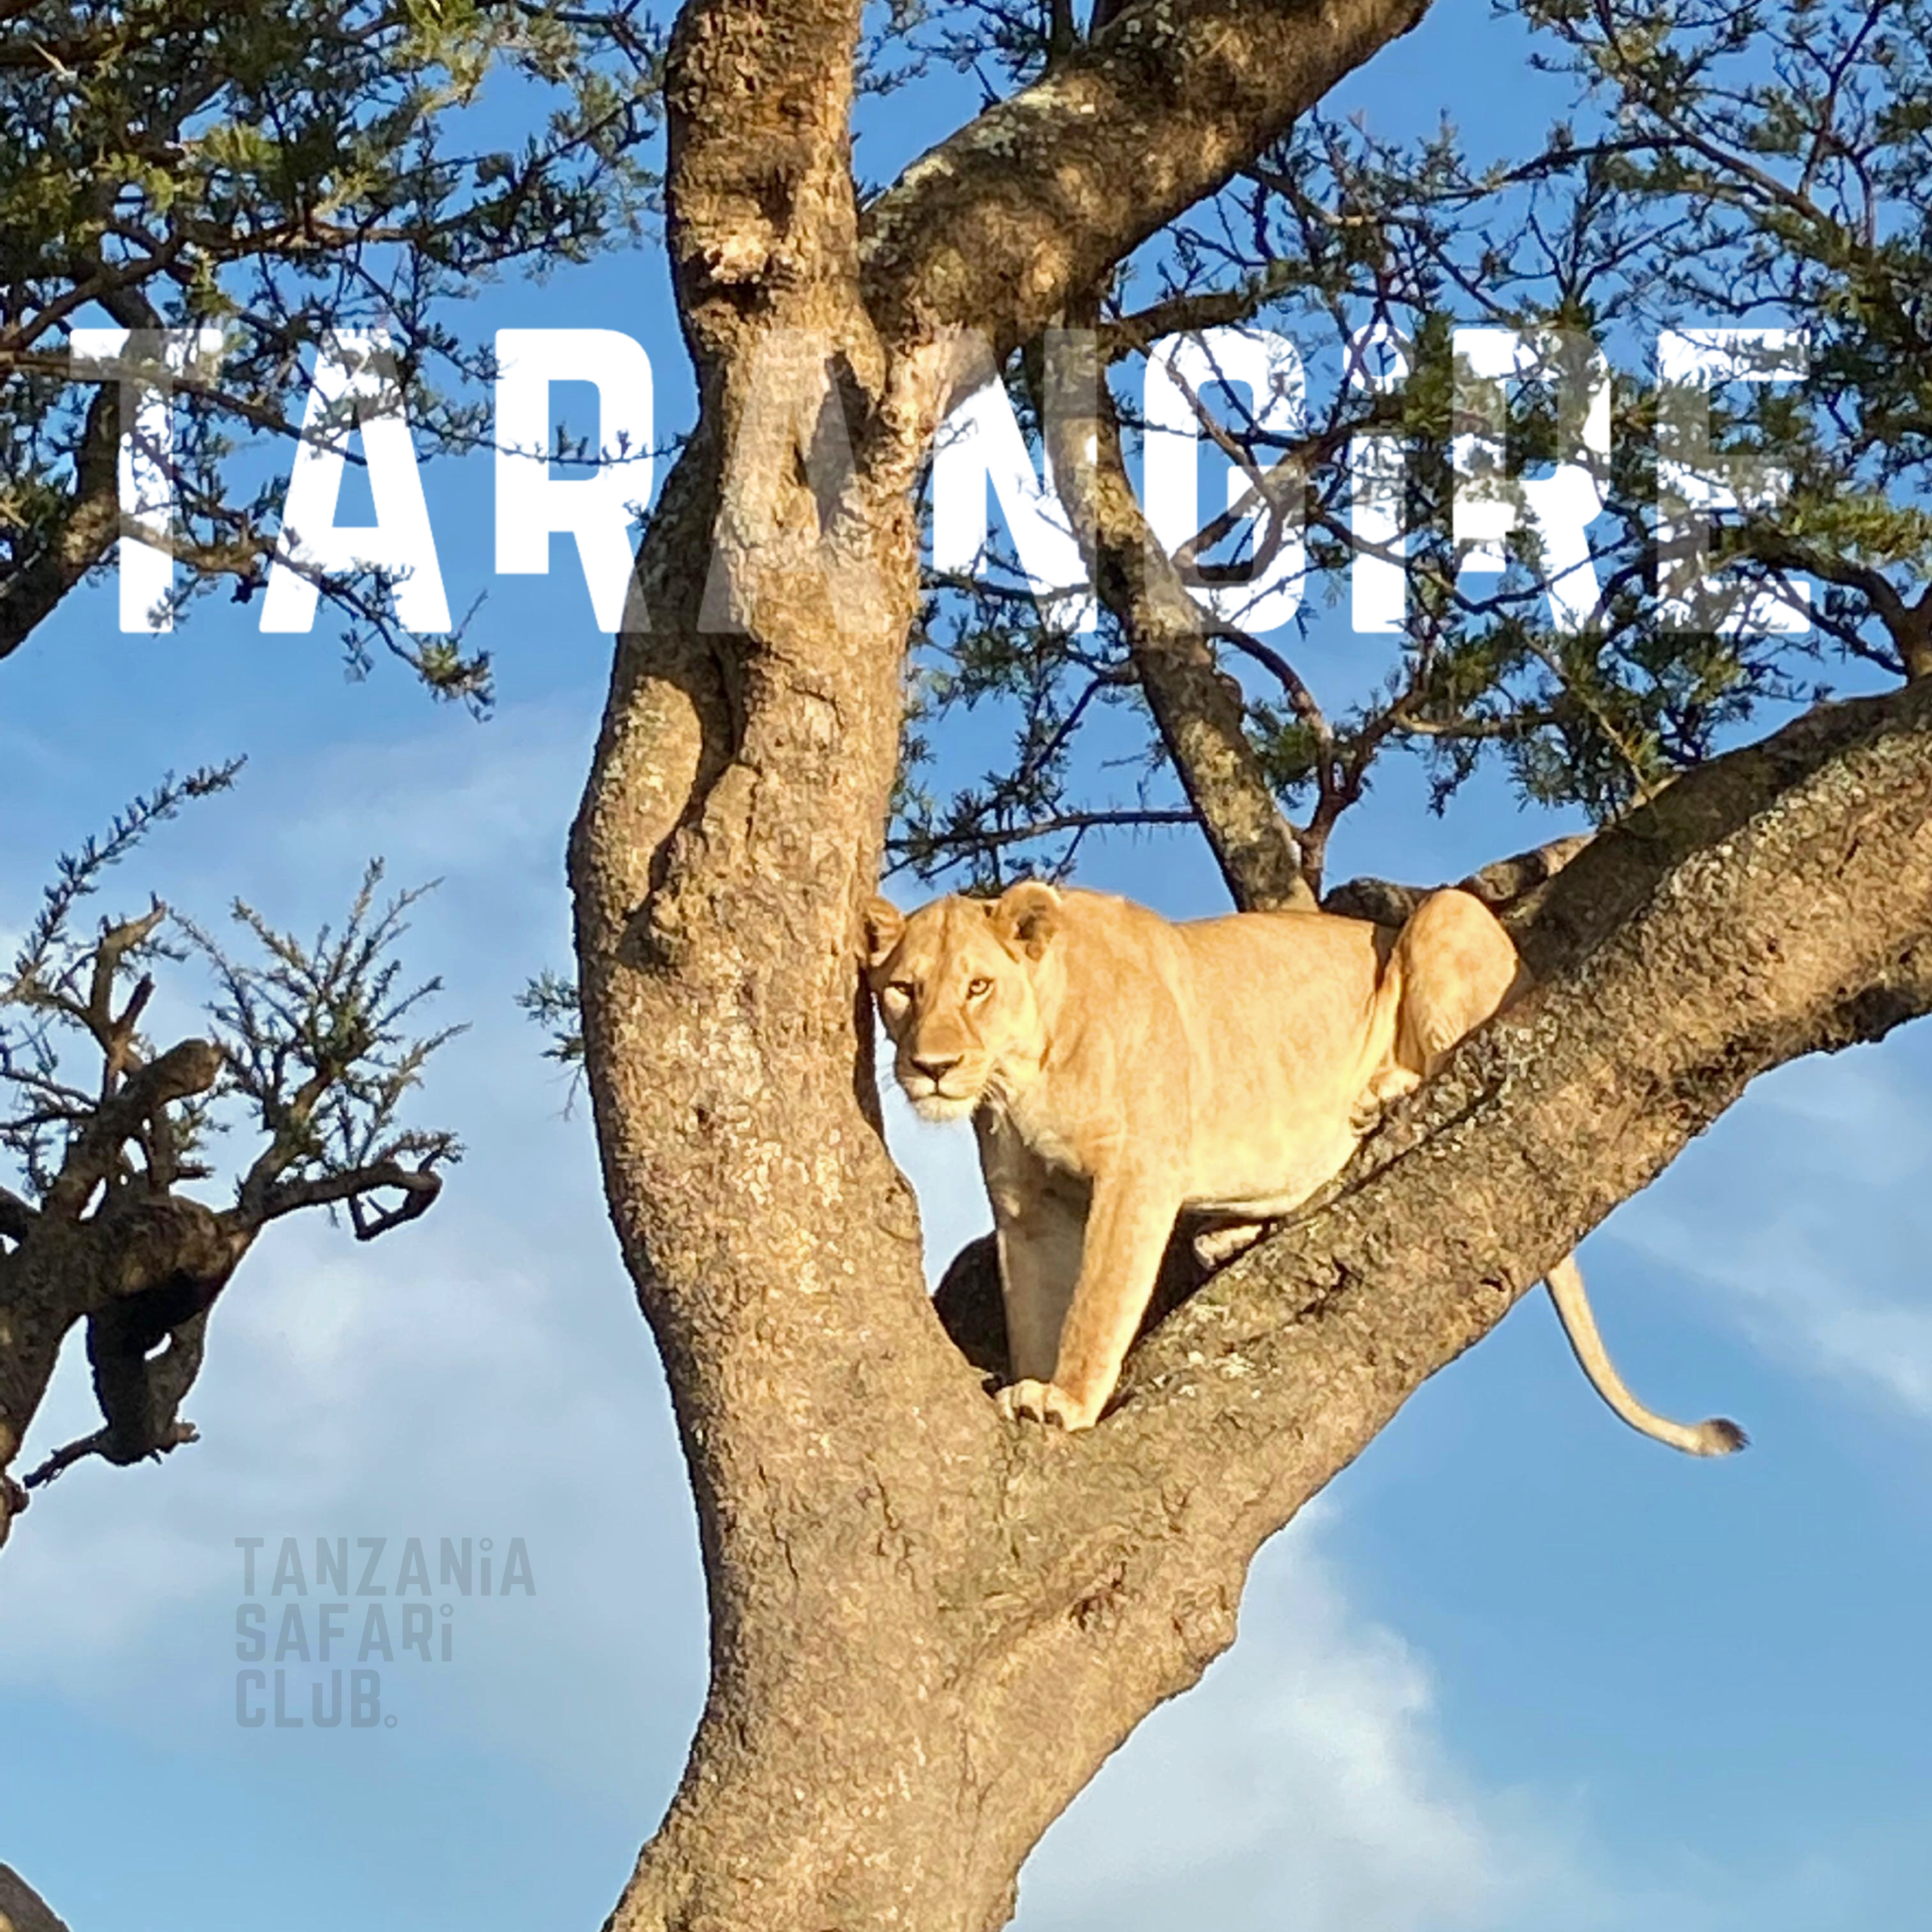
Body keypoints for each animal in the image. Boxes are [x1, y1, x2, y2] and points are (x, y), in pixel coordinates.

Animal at [863, 879, 1745, 1454]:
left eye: (979, 986)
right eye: (902, 990)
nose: (932, 1068)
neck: (1023, 1072)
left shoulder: (1139, 1171)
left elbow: (1097, 1303)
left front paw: (1066, 1403)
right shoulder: (1026, 1207)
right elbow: (1034, 1314)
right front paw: (1028, 1386)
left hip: (1446, 914)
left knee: (1474, 1043)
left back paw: (1377, 1093)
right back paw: (1231, 1234)